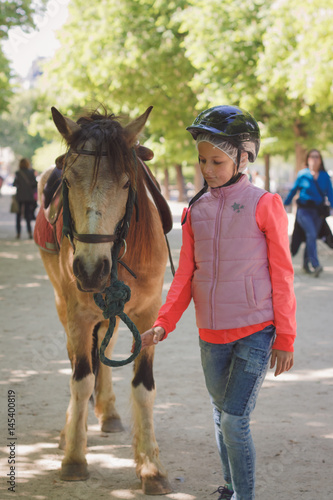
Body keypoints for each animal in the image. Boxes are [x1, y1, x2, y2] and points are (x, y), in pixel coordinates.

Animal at [37, 106, 171, 496]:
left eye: (126, 183)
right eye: (67, 182)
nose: (90, 268)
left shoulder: (148, 315)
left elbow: (143, 387)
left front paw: (150, 466)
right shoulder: (78, 314)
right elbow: (80, 380)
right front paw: (74, 457)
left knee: (103, 350)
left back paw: (108, 413)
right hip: (63, 303)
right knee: (79, 358)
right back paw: (73, 426)